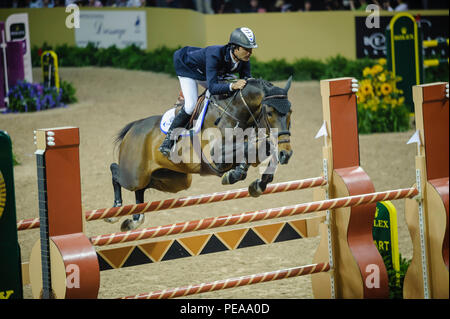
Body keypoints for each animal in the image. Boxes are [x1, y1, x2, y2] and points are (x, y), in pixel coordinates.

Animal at [107, 78, 294, 232]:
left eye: (290, 112)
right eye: (269, 113)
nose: (287, 153)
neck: (236, 113)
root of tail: (134, 127)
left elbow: (263, 149)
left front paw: (258, 183)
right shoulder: (217, 157)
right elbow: (249, 148)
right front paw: (235, 174)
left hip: (175, 180)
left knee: (143, 187)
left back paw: (134, 220)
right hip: (134, 175)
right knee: (116, 170)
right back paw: (115, 211)